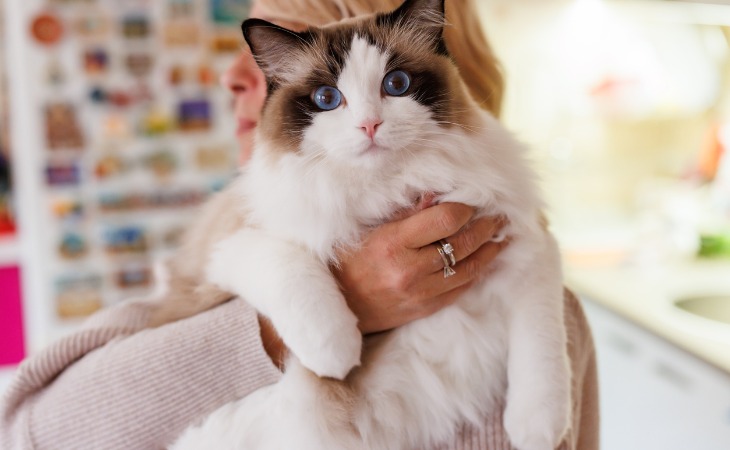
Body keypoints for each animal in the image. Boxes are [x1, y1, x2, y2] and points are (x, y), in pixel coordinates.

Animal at [159, 0, 568, 448]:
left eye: (397, 84)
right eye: (326, 98)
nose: (369, 125)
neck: (388, 190)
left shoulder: (525, 247)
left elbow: (540, 354)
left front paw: (537, 431)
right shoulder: (230, 245)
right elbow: (295, 276)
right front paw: (337, 352)